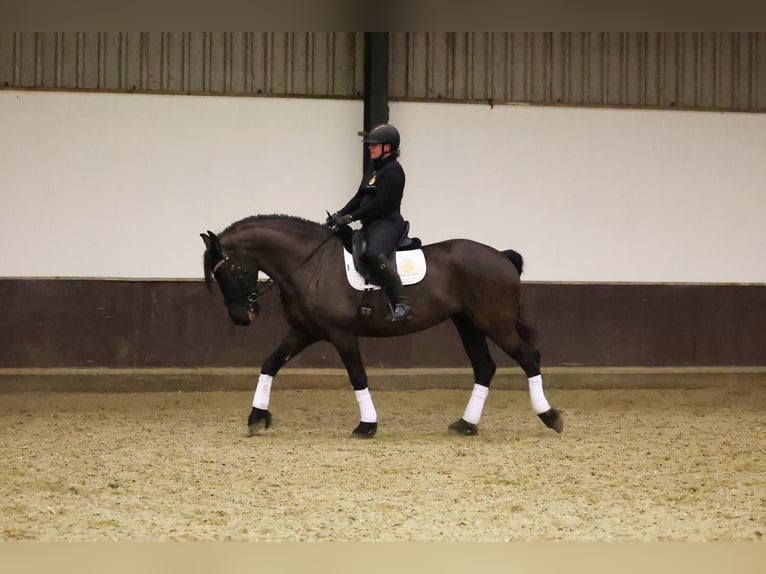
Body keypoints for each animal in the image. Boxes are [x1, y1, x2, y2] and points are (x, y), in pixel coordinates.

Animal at [201, 214, 563, 438]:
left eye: (229, 271)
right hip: (468, 324)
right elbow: (269, 365)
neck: (311, 265)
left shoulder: (342, 335)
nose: (241, 317)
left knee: (529, 357)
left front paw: (367, 425)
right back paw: (465, 424)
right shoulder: (303, 333)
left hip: (495, 323)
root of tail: (501, 256)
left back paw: (549, 416)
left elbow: (358, 377)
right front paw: (256, 417)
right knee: (485, 367)